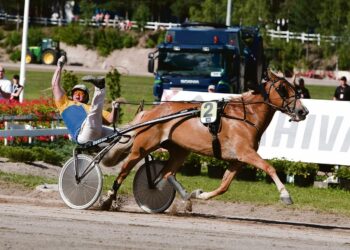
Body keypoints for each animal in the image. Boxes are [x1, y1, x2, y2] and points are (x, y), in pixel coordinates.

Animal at [100, 70, 308, 211]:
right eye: (282, 89)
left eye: (295, 89)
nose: (302, 111)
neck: (245, 116)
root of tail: (150, 113)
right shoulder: (245, 153)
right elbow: (269, 168)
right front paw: (285, 195)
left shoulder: (237, 160)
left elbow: (224, 186)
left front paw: (199, 194)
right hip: (142, 148)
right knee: (124, 171)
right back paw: (107, 198)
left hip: (180, 151)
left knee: (166, 174)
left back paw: (184, 197)